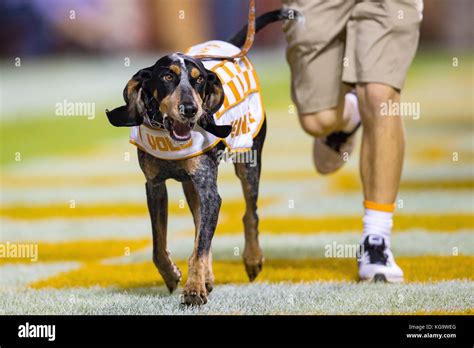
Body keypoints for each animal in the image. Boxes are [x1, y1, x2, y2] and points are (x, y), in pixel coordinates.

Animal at [107, 9, 298, 306]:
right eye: (167, 77)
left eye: (199, 80)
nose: (190, 109)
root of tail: (232, 46)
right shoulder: (155, 186)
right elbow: (159, 244)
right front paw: (173, 275)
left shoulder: (210, 191)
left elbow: (200, 248)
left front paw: (194, 289)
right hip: (191, 188)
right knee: (201, 228)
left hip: (248, 161)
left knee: (249, 214)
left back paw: (252, 259)